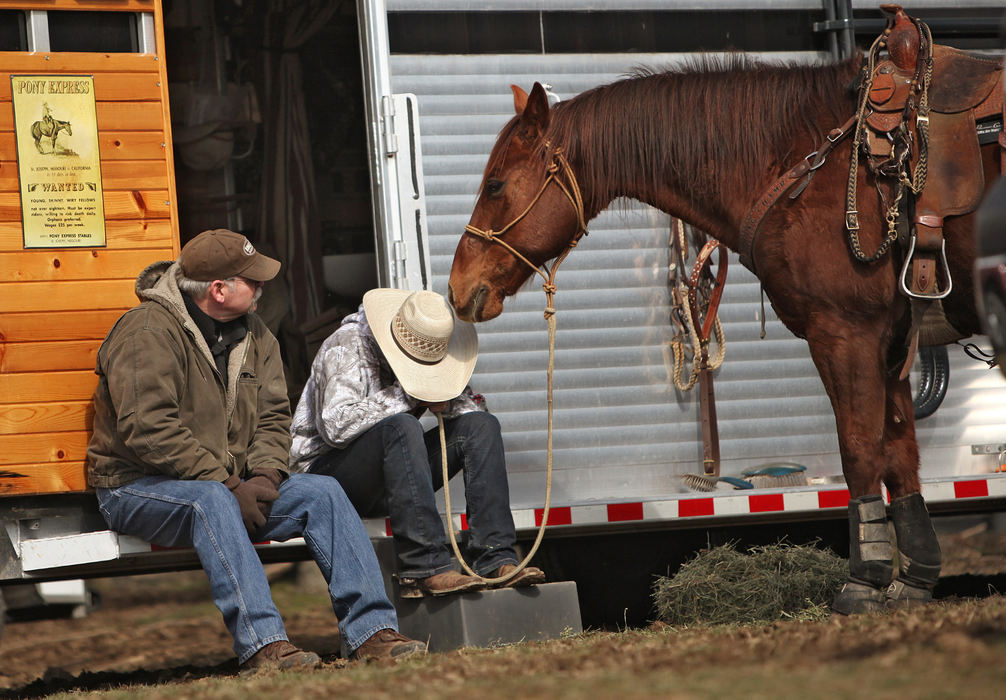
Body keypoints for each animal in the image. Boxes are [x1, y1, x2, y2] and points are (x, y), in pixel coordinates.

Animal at [452, 20, 1001, 611]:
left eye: (495, 185)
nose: (458, 286)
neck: (813, 161)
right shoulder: (893, 340)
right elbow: (899, 456)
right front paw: (912, 581)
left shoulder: (846, 332)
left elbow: (859, 451)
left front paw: (863, 580)